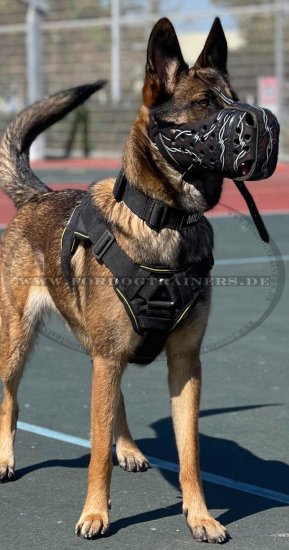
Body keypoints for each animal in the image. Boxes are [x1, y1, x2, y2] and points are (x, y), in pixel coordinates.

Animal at [0, 16, 268, 544]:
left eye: (234, 97)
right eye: (203, 105)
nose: (261, 124)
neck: (165, 221)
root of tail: (37, 196)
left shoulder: (185, 365)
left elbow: (190, 455)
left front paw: (200, 516)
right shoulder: (107, 356)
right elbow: (96, 455)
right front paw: (95, 513)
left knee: (114, 402)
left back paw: (127, 447)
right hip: (17, 341)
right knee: (11, 402)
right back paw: (6, 458)